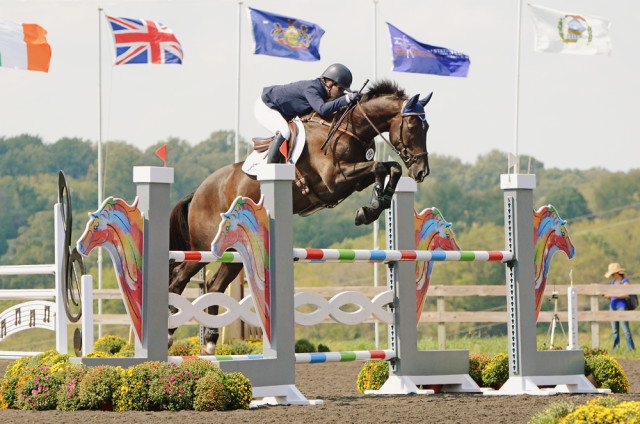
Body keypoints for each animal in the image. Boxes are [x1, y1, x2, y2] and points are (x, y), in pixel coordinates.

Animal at [168, 80, 432, 354]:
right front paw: (372, 206)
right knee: (180, 278)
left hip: (236, 252)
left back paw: (209, 341)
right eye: (413, 126)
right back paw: (169, 334)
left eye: (427, 127)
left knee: (214, 285)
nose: (421, 171)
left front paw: (376, 204)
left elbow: (392, 167)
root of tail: (198, 192)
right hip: (204, 246)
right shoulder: (335, 179)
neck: (350, 128)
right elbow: (380, 166)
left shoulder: (353, 178)